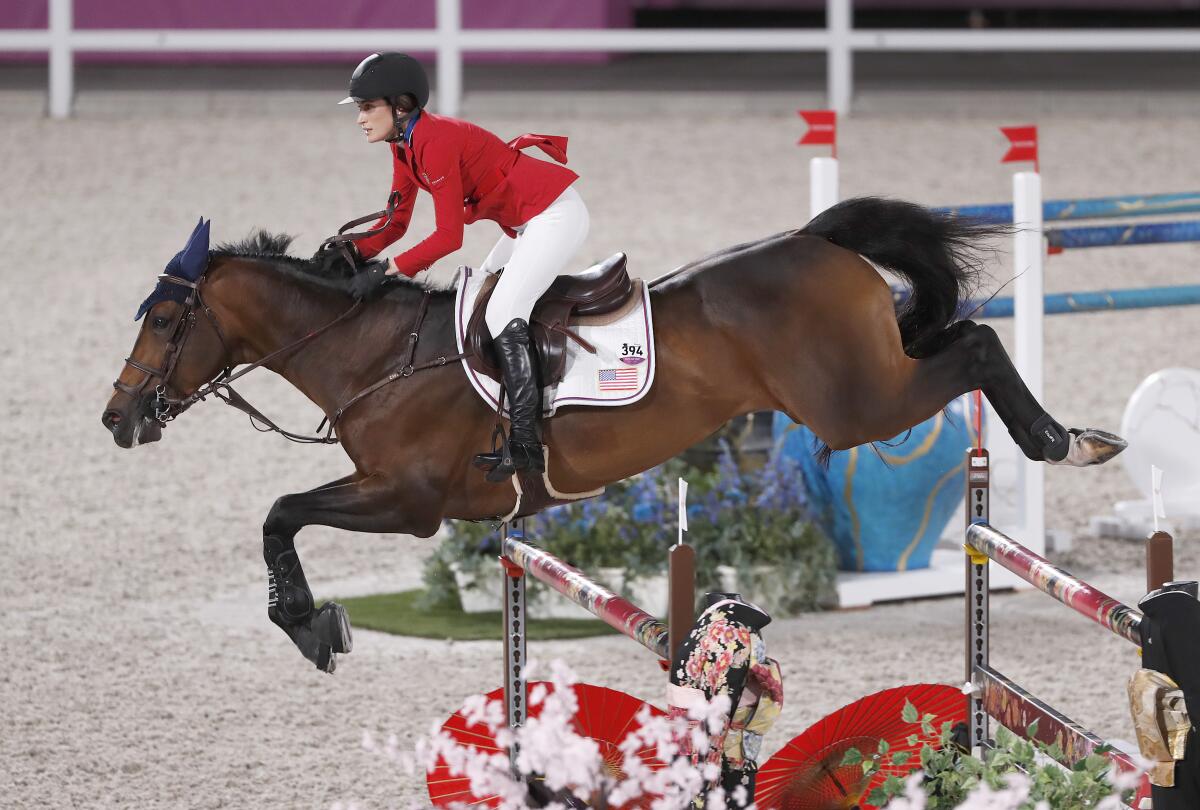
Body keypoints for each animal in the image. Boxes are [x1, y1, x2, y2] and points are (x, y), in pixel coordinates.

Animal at [100, 196, 1123, 672]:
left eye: (164, 319)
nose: (116, 418)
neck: (372, 353)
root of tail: (817, 240)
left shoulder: (407, 500)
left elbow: (279, 513)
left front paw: (309, 625)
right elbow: (281, 514)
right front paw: (308, 622)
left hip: (854, 403)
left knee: (978, 345)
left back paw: (1064, 441)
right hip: (871, 379)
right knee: (957, 338)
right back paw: (1069, 437)